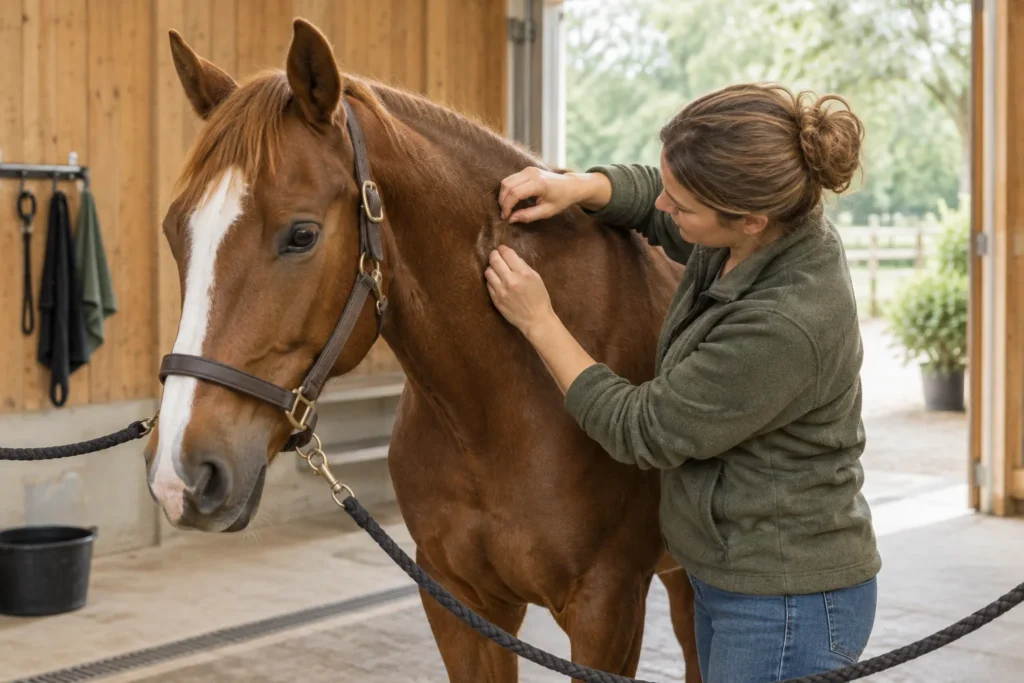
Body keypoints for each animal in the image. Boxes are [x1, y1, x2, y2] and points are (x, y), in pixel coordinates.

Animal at [145, 17, 701, 683]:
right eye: (174, 231)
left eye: (301, 234)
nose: (179, 472)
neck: (504, 411)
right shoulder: (460, 605)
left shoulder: (606, 611)